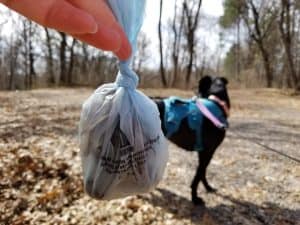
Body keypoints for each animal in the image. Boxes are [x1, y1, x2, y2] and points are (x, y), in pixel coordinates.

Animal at [154, 76, 231, 206]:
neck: (216, 101)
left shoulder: (204, 152)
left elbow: (202, 172)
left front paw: (207, 187)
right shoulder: (208, 152)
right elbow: (198, 175)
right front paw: (195, 198)